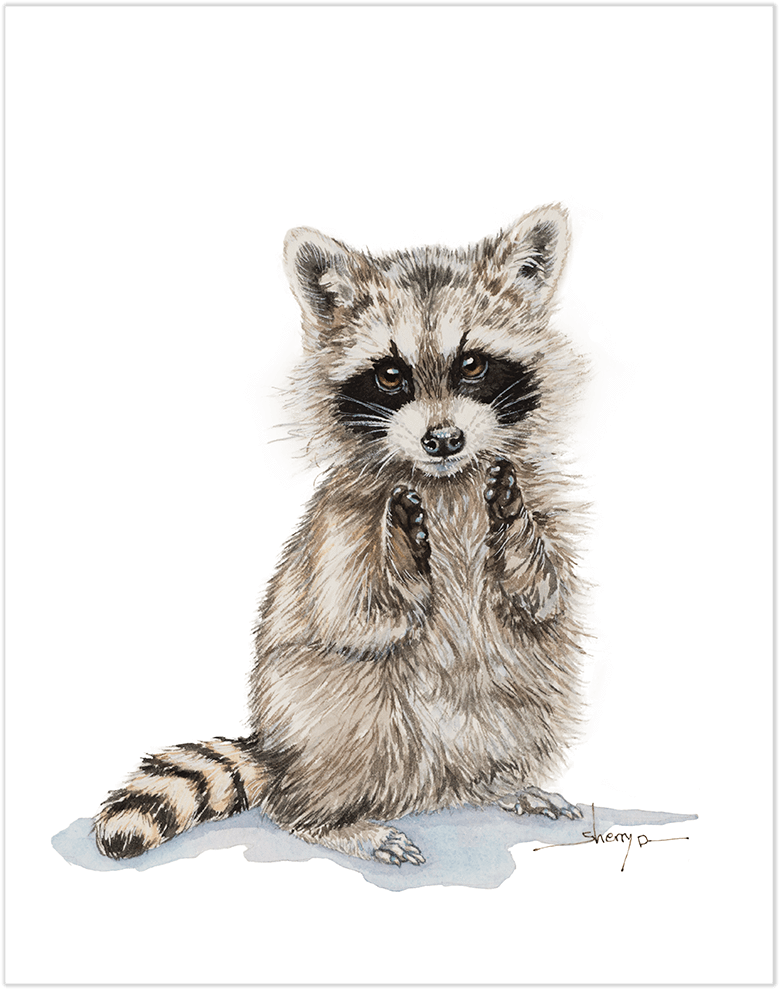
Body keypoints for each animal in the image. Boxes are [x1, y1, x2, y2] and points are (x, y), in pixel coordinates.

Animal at [95, 205, 586, 865]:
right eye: (390, 375)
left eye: (473, 364)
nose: (443, 440)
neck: (445, 482)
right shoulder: (342, 523)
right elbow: (354, 617)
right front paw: (402, 557)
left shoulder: (536, 491)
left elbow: (544, 597)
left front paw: (515, 530)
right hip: (319, 712)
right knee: (341, 707)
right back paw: (328, 819)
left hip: (516, 699)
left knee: (524, 685)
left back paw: (496, 781)